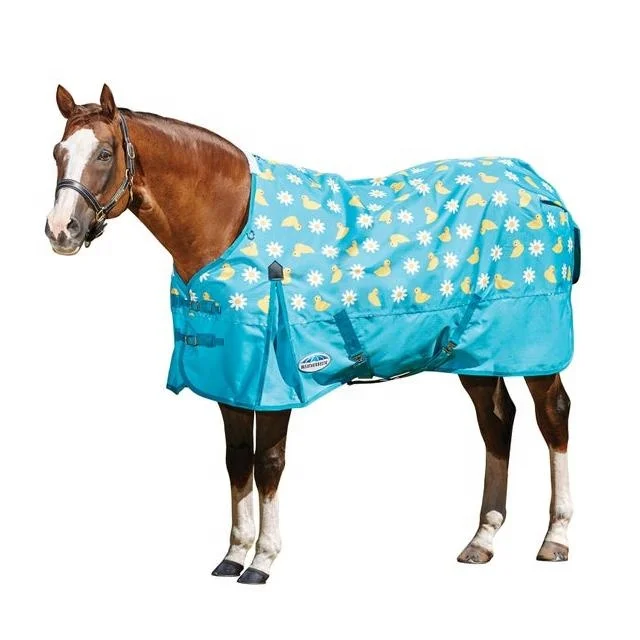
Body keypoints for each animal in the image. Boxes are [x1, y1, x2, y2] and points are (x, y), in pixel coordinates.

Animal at [45, 84, 575, 584]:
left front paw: (262, 560)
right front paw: (233, 555)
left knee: (552, 417)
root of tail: (539, 185)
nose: (60, 230)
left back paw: (556, 537)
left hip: (535, 349)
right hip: (476, 352)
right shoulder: (229, 380)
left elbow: (267, 464)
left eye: (104, 154)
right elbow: (236, 461)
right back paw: (482, 540)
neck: (230, 223)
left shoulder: (274, 382)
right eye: (57, 152)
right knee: (496, 422)